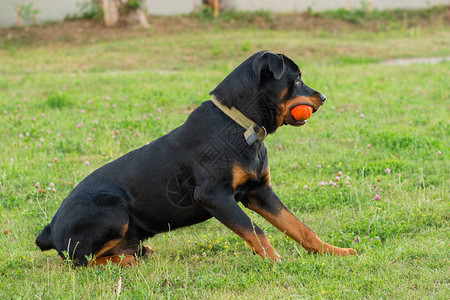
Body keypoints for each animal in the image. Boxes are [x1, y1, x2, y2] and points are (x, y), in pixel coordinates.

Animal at [36, 50, 356, 266]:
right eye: (297, 79)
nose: (323, 97)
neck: (242, 127)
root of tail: (50, 230)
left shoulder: (259, 192)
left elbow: (299, 227)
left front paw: (333, 251)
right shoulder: (215, 196)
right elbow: (257, 231)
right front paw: (276, 260)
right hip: (113, 211)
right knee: (81, 260)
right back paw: (124, 260)